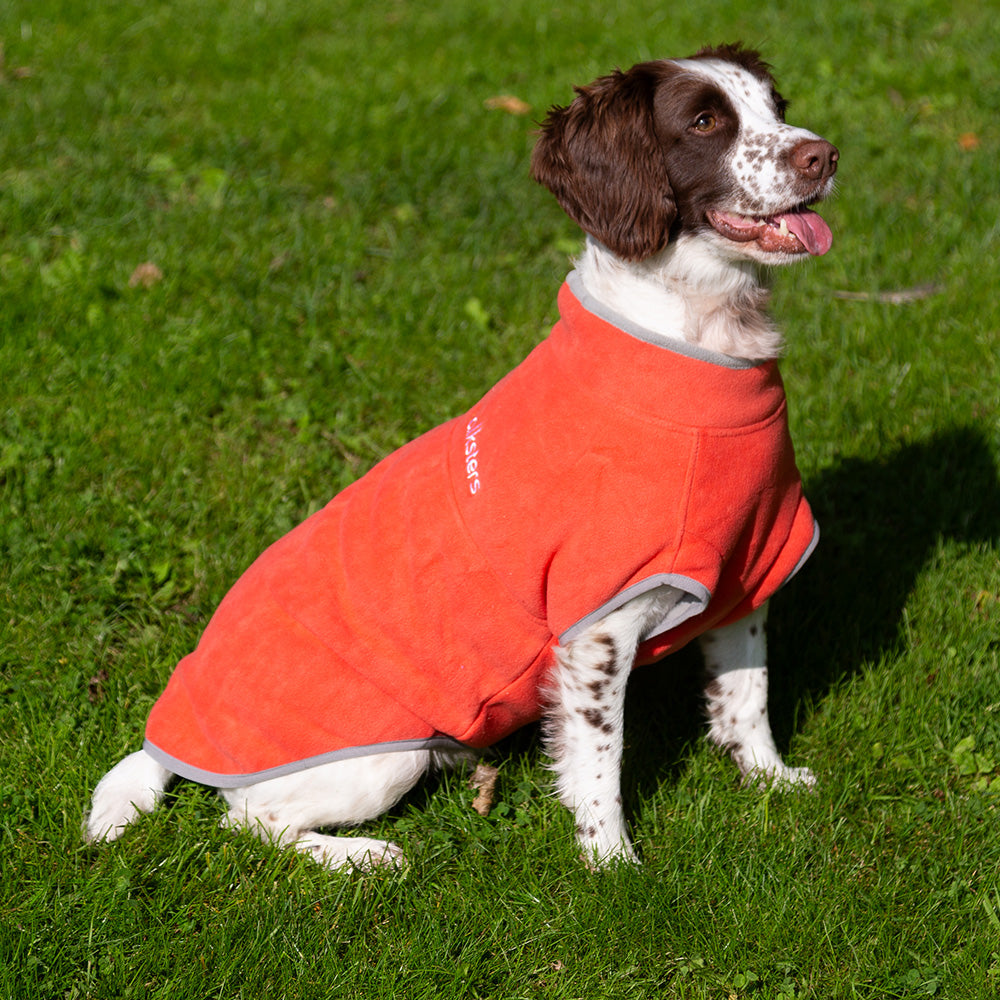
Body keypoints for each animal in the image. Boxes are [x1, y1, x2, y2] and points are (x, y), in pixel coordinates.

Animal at [84, 45, 836, 868]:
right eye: (704, 122)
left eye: (776, 105)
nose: (824, 155)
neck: (707, 347)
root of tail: (170, 729)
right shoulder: (597, 629)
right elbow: (599, 760)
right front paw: (613, 865)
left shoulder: (747, 572)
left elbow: (747, 697)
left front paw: (771, 782)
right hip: (383, 756)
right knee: (246, 820)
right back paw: (367, 857)